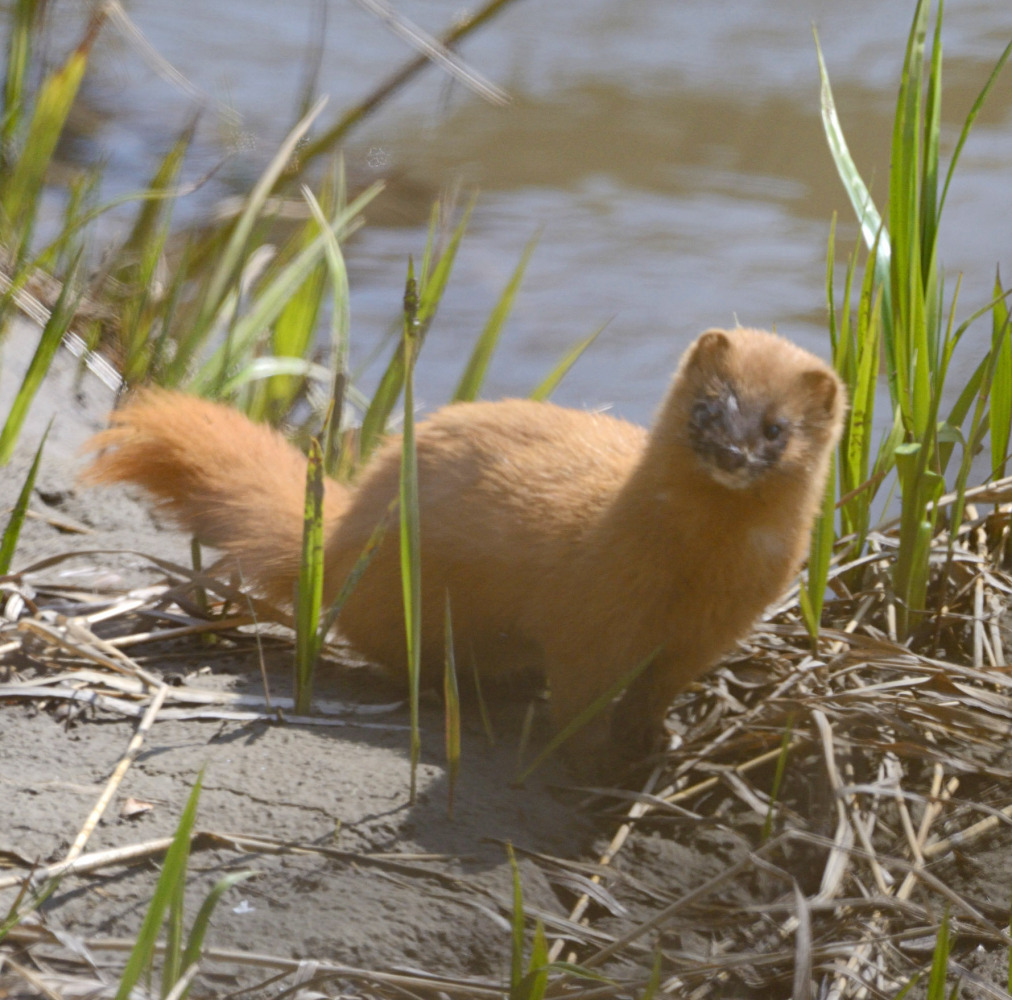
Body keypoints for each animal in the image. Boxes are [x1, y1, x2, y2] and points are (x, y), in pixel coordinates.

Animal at [85, 331, 846, 753]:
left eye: (776, 428)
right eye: (708, 406)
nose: (731, 451)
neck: (692, 574)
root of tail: (342, 529)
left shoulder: (711, 631)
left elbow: (659, 688)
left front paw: (658, 737)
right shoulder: (592, 619)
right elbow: (580, 694)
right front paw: (589, 757)